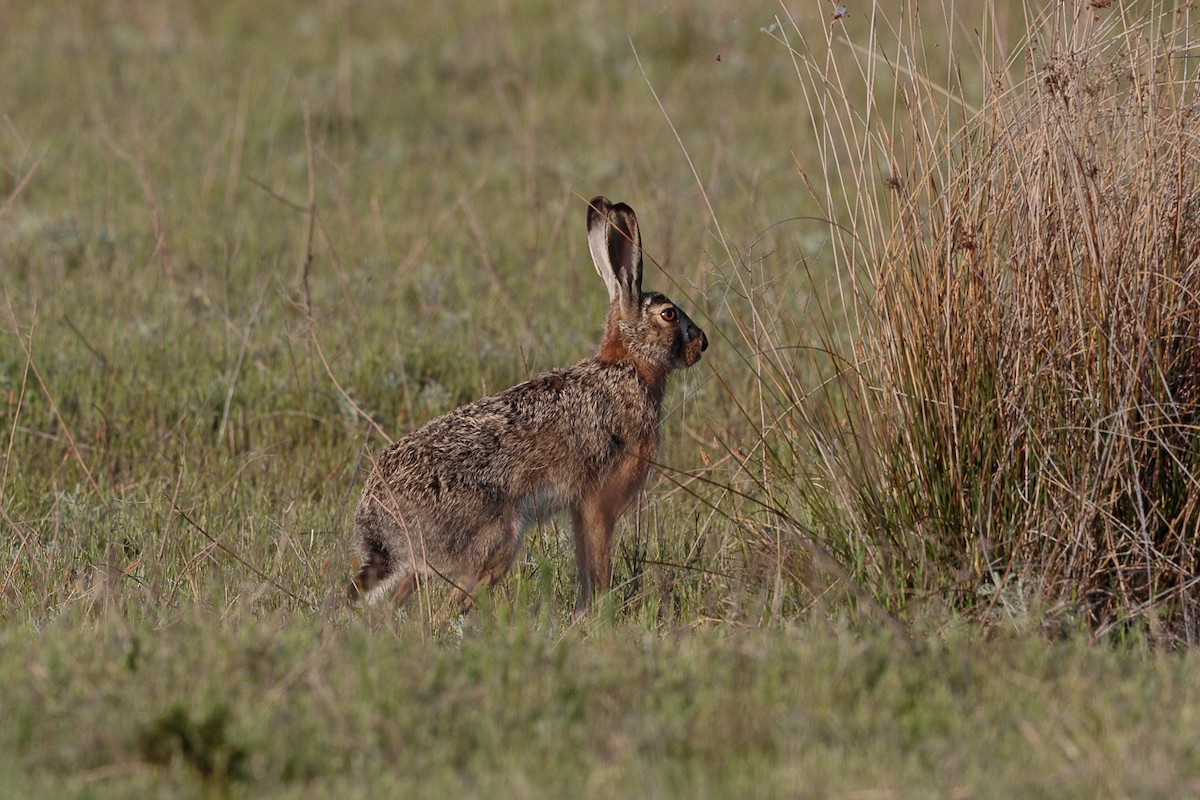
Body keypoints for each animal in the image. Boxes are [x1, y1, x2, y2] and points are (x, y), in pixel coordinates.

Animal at [348, 195, 708, 615]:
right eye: (669, 315)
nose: (702, 344)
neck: (628, 365)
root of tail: (379, 527)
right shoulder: (597, 498)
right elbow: (597, 560)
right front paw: (599, 611)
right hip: (497, 540)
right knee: (448, 609)